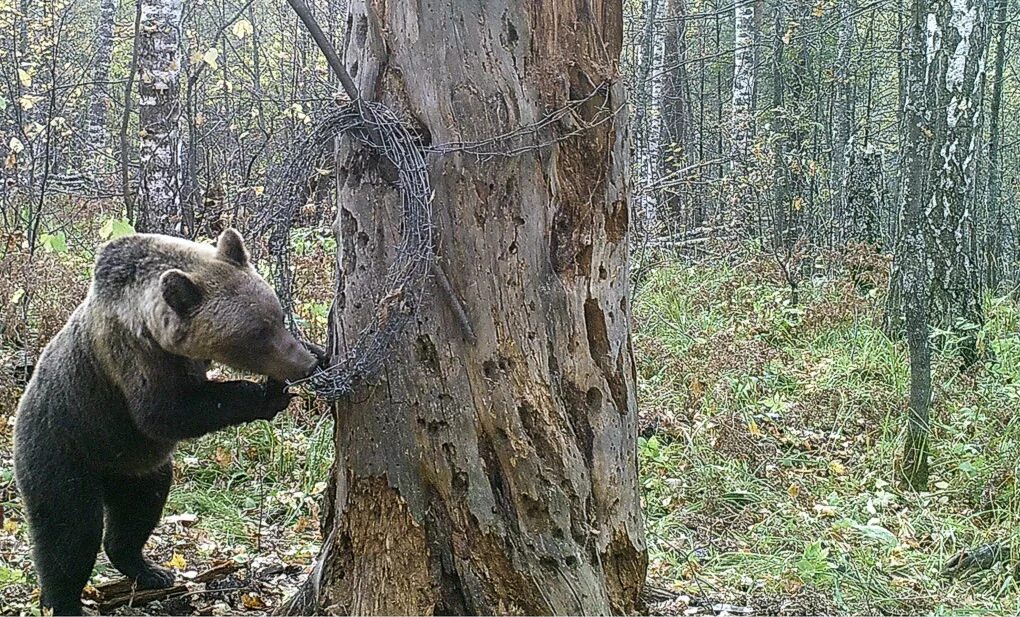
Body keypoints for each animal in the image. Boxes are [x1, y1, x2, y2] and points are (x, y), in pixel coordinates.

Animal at [12, 228, 322, 611]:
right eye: (255, 335)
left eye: (277, 316)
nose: (303, 365)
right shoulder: (135, 359)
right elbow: (165, 415)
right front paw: (267, 394)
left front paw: (318, 351)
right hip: (65, 449)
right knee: (70, 532)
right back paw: (65, 601)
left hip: (136, 464)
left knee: (140, 509)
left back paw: (150, 570)